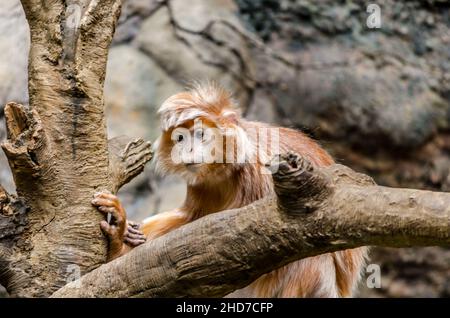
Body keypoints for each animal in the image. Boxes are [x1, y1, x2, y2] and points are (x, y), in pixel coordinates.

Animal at [91, 83, 366, 296]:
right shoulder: (200, 184)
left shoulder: (261, 168)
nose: (188, 149)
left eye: (200, 135)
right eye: (180, 138)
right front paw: (126, 233)